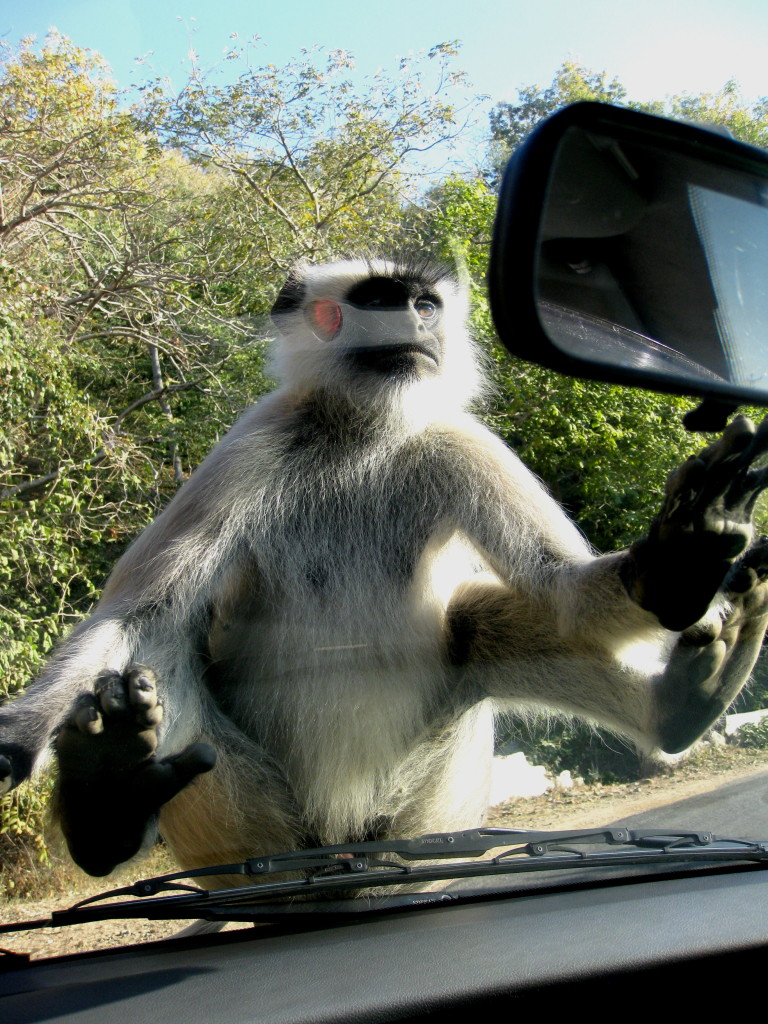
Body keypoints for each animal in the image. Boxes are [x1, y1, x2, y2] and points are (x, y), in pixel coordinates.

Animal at [1, 258, 768, 880]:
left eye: (425, 303)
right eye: (378, 298)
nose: (414, 323)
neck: (361, 437)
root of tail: (341, 844)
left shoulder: (459, 443)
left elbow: (561, 591)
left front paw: (676, 563)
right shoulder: (252, 445)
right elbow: (139, 614)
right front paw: (18, 738)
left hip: (421, 808)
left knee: (476, 629)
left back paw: (681, 706)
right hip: (262, 825)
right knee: (169, 651)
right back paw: (106, 802)